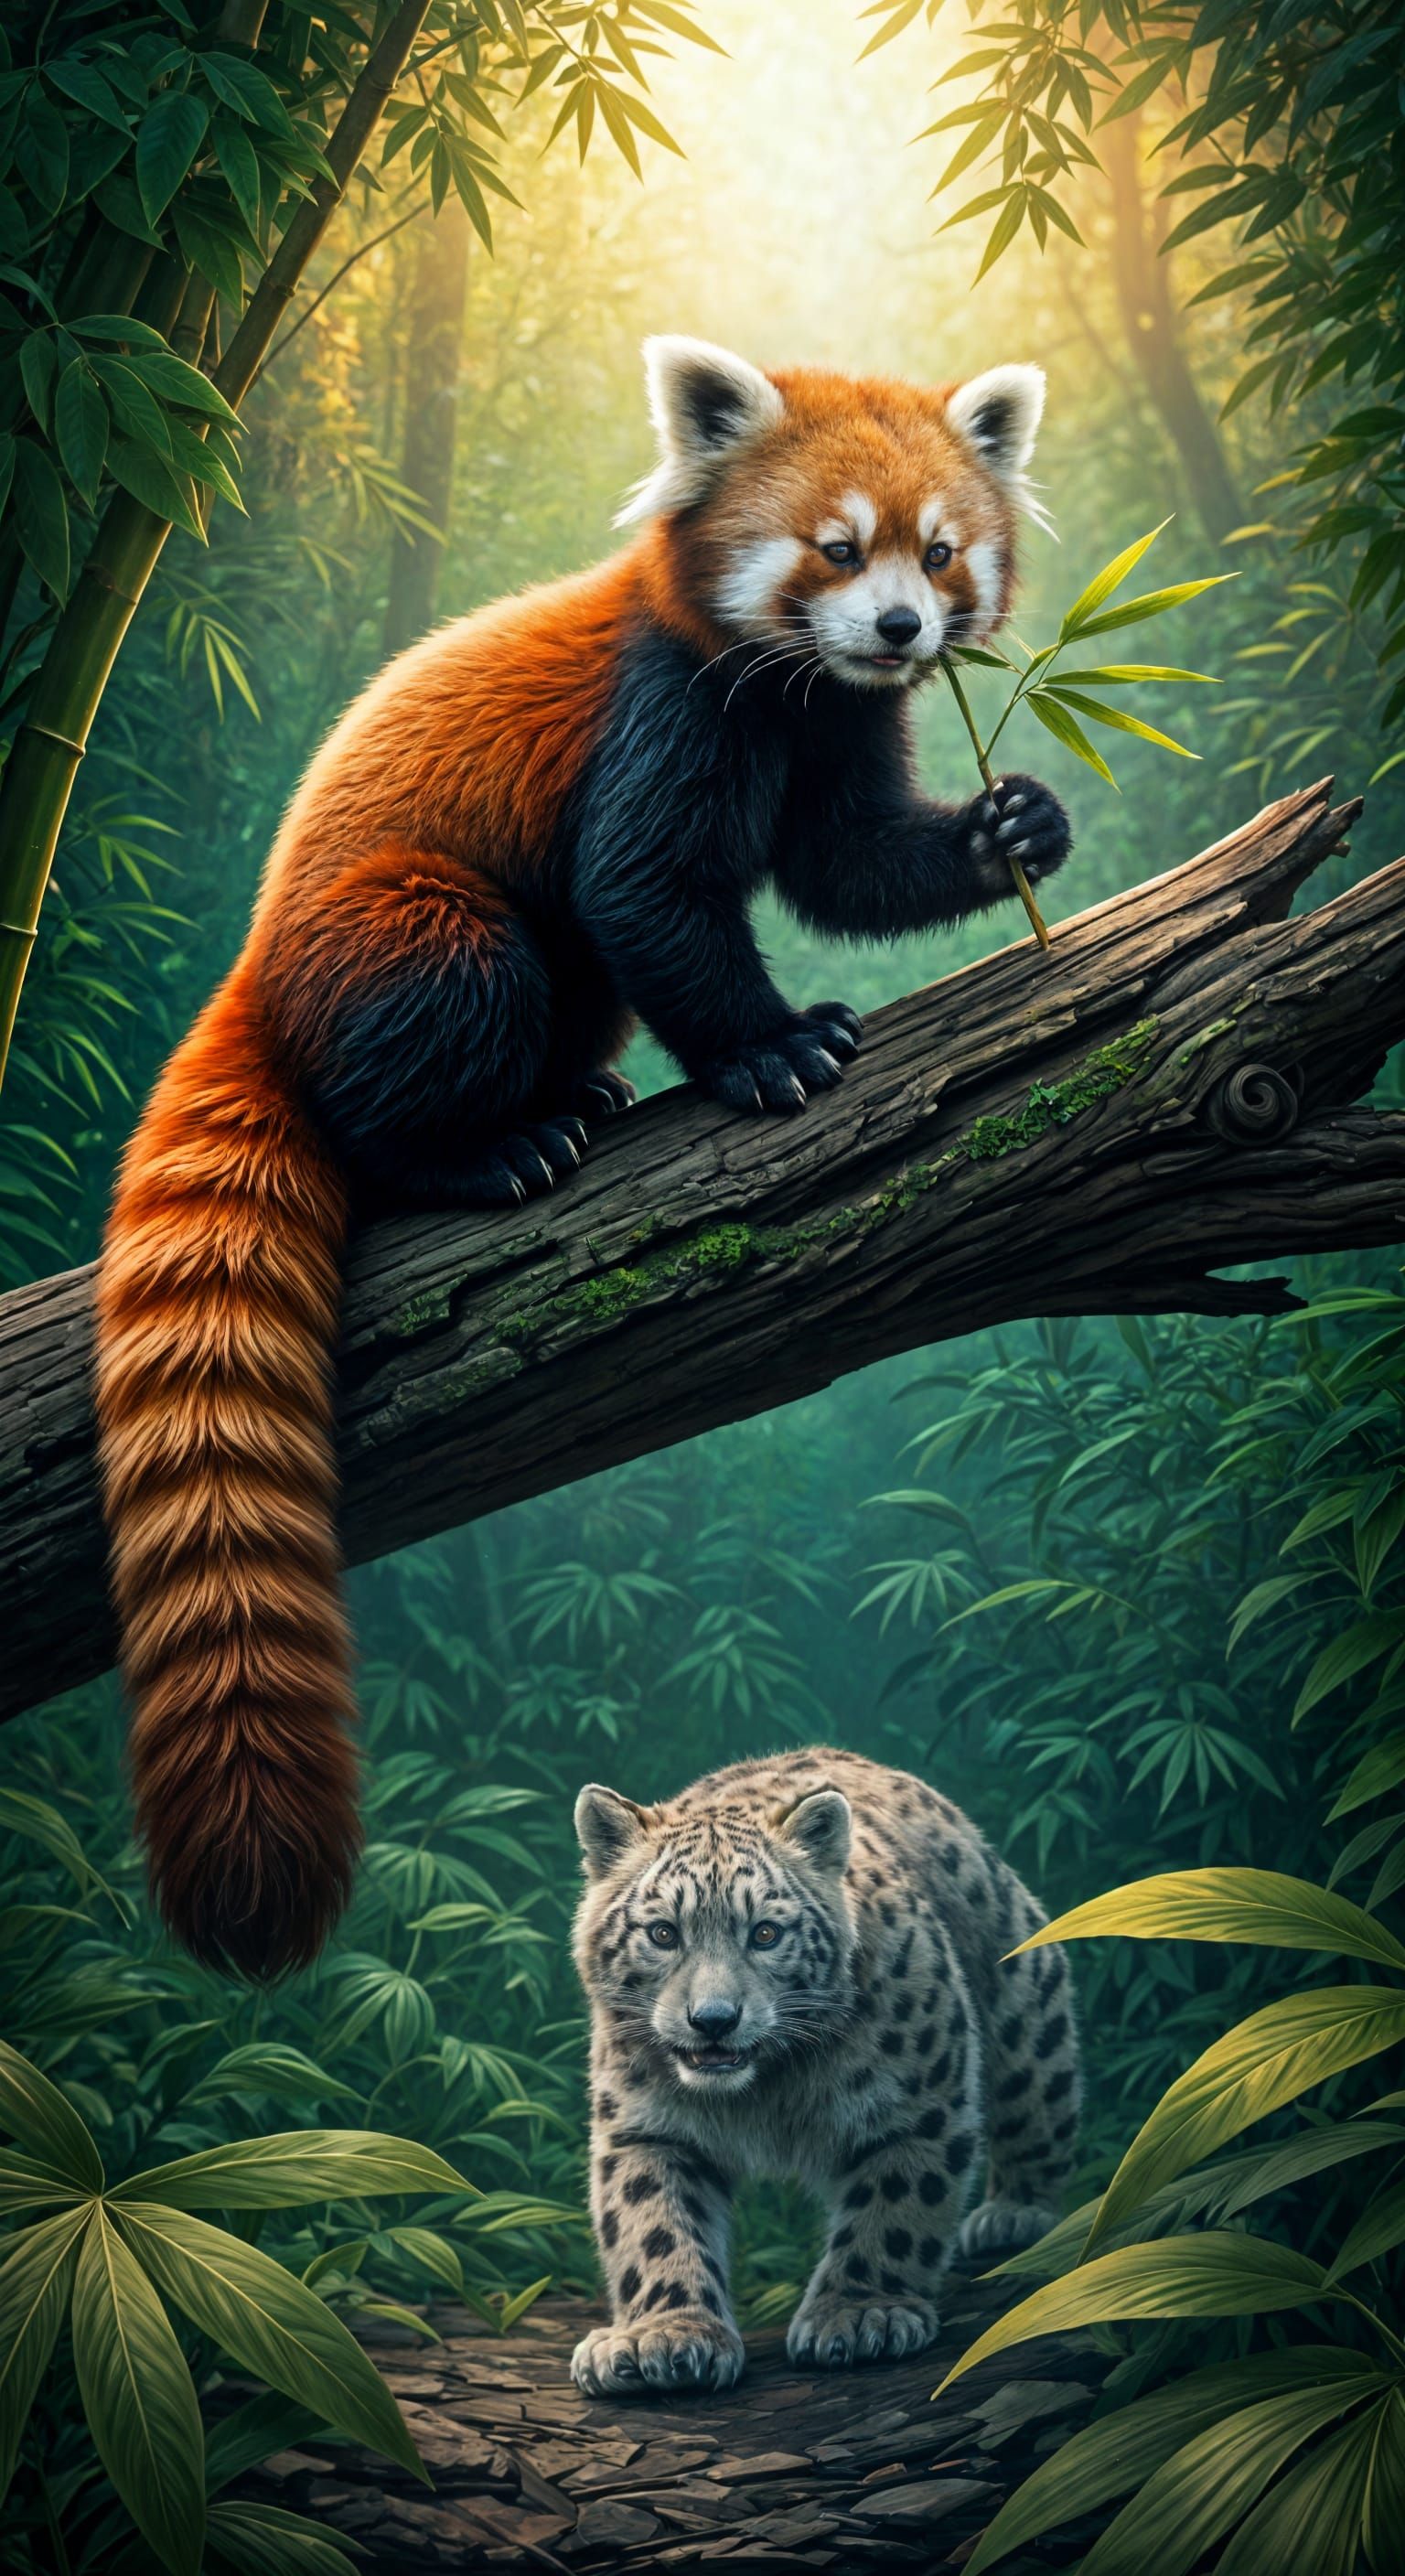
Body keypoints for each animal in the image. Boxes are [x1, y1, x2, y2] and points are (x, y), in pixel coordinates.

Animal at [569, 1746, 1080, 2396]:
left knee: (1039, 2095)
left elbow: (896, 2207)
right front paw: (665, 2335)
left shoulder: (918, 2106)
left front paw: (862, 2316)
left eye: (765, 1933)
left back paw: (1014, 2216)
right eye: (663, 1933)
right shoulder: (646, 2128)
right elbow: (653, 2223)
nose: (714, 2020)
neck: (766, 2096)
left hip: (1024, 1994)